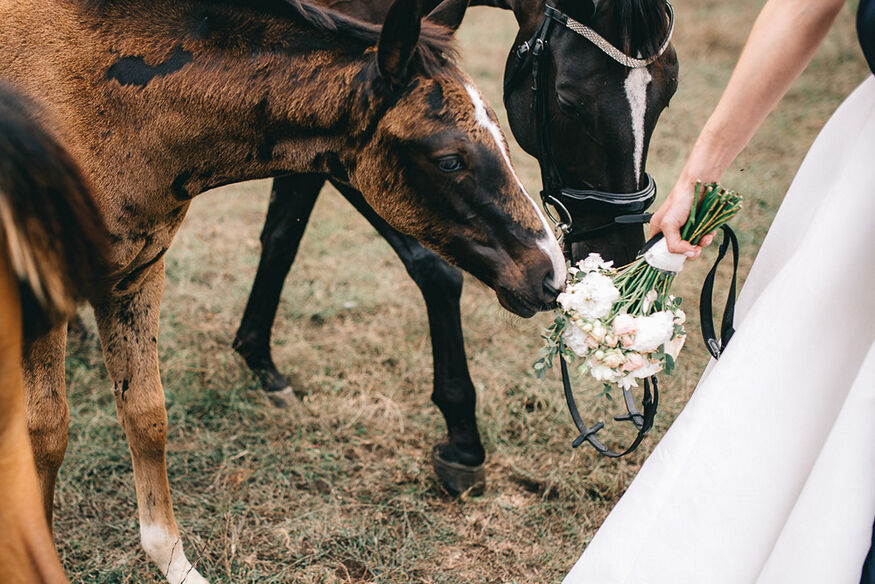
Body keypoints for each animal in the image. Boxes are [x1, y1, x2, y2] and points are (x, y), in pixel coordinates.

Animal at [1, 0, 568, 580]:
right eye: (450, 159)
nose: (551, 274)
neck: (100, 107)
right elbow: (45, 433)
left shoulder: (139, 271)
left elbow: (146, 416)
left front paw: (175, 563)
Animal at [233, 0, 676, 492]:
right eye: (568, 102)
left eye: (669, 92)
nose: (621, 250)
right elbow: (433, 269)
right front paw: (463, 436)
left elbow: (281, 238)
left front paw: (258, 356)